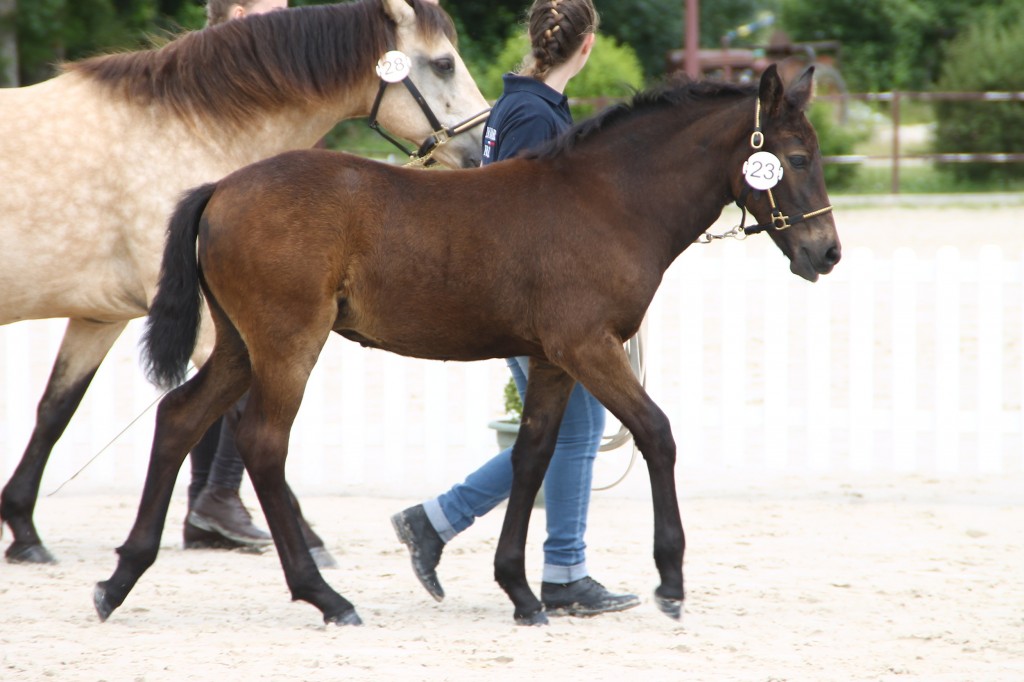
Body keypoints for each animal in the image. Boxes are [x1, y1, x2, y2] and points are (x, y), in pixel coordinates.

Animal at [0, 0, 487, 561]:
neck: (182, 128)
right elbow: (237, 420)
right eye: (445, 63)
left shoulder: (99, 317)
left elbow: (55, 411)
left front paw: (23, 528)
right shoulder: (218, 327)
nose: (481, 146)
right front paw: (303, 538)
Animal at [94, 66, 839, 622]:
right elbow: (656, 432)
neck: (605, 200)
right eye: (798, 157)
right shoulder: (588, 347)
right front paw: (670, 580)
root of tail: (221, 187)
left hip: (240, 347)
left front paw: (521, 592)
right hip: (285, 344)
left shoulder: (551, 358)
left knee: (180, 417)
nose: (826, 253)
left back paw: (119, 579)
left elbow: (532, 455)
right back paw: (326, 597)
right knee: (263, 444)